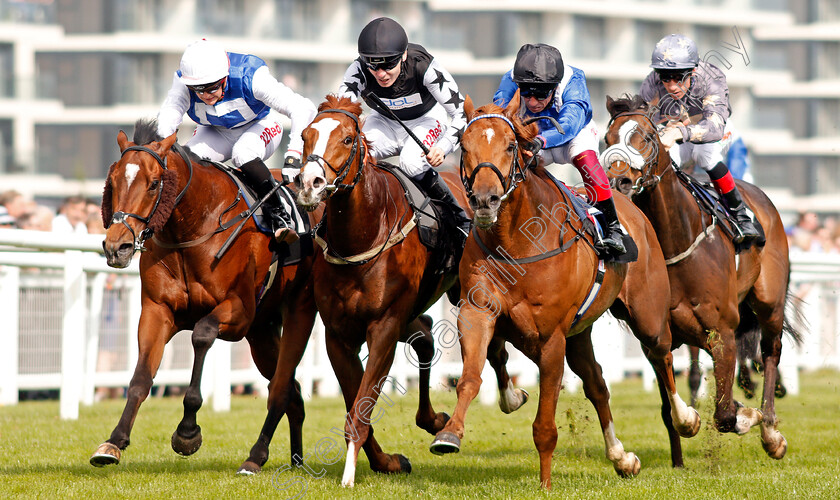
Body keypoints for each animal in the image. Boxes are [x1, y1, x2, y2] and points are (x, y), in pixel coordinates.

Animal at [88, 119, 318, 474]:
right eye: (112, 182)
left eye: (154, 184)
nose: (117, 247)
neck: (194, 227)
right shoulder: (157, 310)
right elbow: (141, 377)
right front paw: (113, 442)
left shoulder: (239, 312)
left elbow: (201, 334)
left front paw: (187, 432)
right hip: (262, 334)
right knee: (292, 391)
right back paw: (294, 460)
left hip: (296, 311)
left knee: (285, 385)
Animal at [292, 95, 520, 486]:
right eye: (307, 135)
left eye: (348, 139)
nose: (309, 183)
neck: (363, 234)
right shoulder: (338, 335)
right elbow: (356, 399)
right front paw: (384, 461)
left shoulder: (384, 325)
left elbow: (362, 404)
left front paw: (350, 474)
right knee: (426, 338)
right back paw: (436, 419)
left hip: (463, 291)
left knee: (491, 348)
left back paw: (507, 395)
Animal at [430, 91, 700, 488]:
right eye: (464, 146)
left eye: (510, 145)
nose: (484, 200)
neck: (516, 242)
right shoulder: (478, 312)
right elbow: (470, 377)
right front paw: (449, 434)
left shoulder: (551, 337)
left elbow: (545, 423)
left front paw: (544, 484)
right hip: (580, 333)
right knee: (598, 384)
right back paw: (621, 457)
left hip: (647, 315)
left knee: (662, 355)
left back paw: (686, 418)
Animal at [604, 94, 800, 460]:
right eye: (607, 140)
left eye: (647, 138)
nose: (618, 181)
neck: (677, 242)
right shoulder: (657, 337)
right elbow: (671, 409)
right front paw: (678, 458)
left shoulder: (722, 331)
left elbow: (724, 415)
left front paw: (747, 416)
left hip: (770, 303)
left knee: (771, 352)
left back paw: (770, 431)